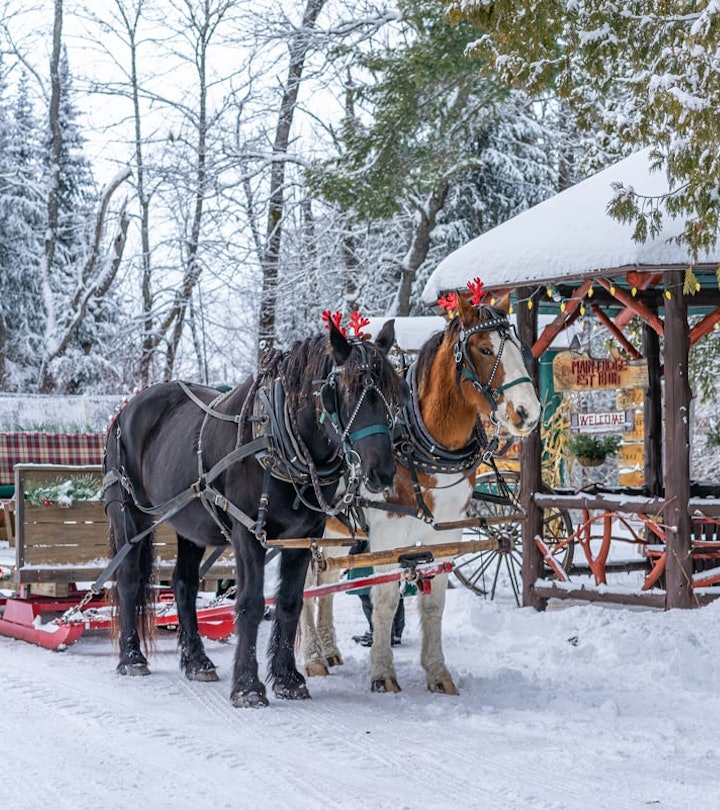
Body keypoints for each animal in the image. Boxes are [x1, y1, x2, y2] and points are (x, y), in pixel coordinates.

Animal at [102, 318, 408, 704]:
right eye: (347, 390)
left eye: (393, 393)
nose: (381, 472)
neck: (278, 438)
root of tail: (127, 407)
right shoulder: (248, 532)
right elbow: (249, 603)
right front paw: (248, 686)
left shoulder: (305, 537)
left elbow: (289, 602)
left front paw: (288, 679)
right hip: (129, 514)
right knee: (128, 579)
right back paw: (131, 657)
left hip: (190, 522)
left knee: (184, 584)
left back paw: (198, 661)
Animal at [298, 290, 540, 696]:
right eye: (485, 349)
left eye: (519, 348)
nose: (529, 412)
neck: (420, 447)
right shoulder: (387, 537)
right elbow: (383, 600)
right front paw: (382, 673)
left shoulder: (444, 536)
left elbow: (434, 603)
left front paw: (438, 673)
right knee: (303, 586)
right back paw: (314, 657)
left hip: (336, 533)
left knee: (325, 581)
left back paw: (329, 649)